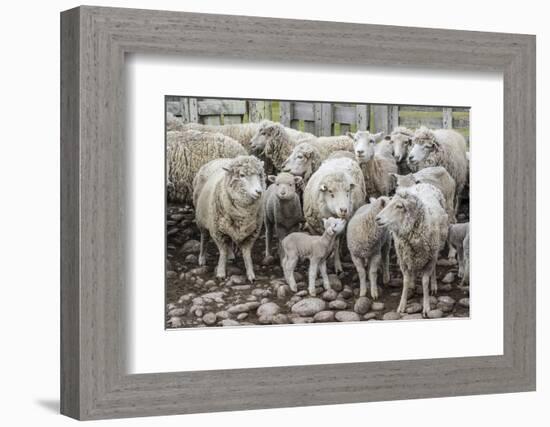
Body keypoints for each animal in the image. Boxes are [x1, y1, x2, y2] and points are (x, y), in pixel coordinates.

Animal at [378, 184, 450, 318]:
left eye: (399, 206)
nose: (377, 218)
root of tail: (425, 184)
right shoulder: (404, 260)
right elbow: (405, 281)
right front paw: (402, 304)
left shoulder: (429, 259)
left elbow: (425, 282)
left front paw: (426, 307)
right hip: (413, 256)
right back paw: (413, 284)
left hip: (435, 249)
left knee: (434, 268)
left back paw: (434, 285)